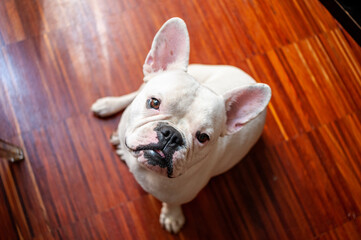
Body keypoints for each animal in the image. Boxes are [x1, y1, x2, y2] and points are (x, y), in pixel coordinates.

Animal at [90, 17, 270, 233]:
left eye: (203, 137)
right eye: (154, 102)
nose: (172, 135)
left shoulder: (179, 194)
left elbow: (172, 202)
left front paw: (172, 216)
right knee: (134, 92)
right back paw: (109, 106)